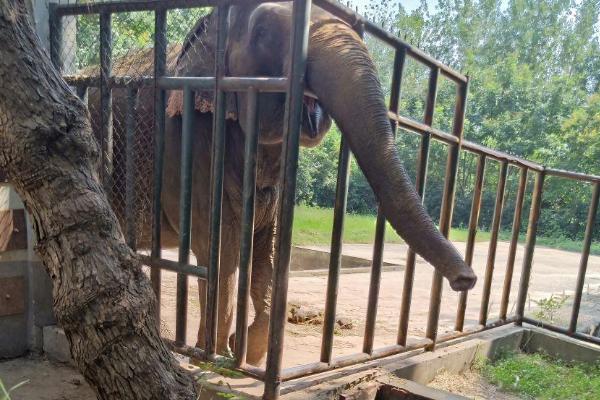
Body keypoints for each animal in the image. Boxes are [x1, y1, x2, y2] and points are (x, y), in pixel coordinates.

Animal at [91, 1, 476, 368]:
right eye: (262, 32)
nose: (466, 280)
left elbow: (269, 253)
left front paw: (242, 351)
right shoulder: (192, 146)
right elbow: (222, 253)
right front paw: (213, 356)